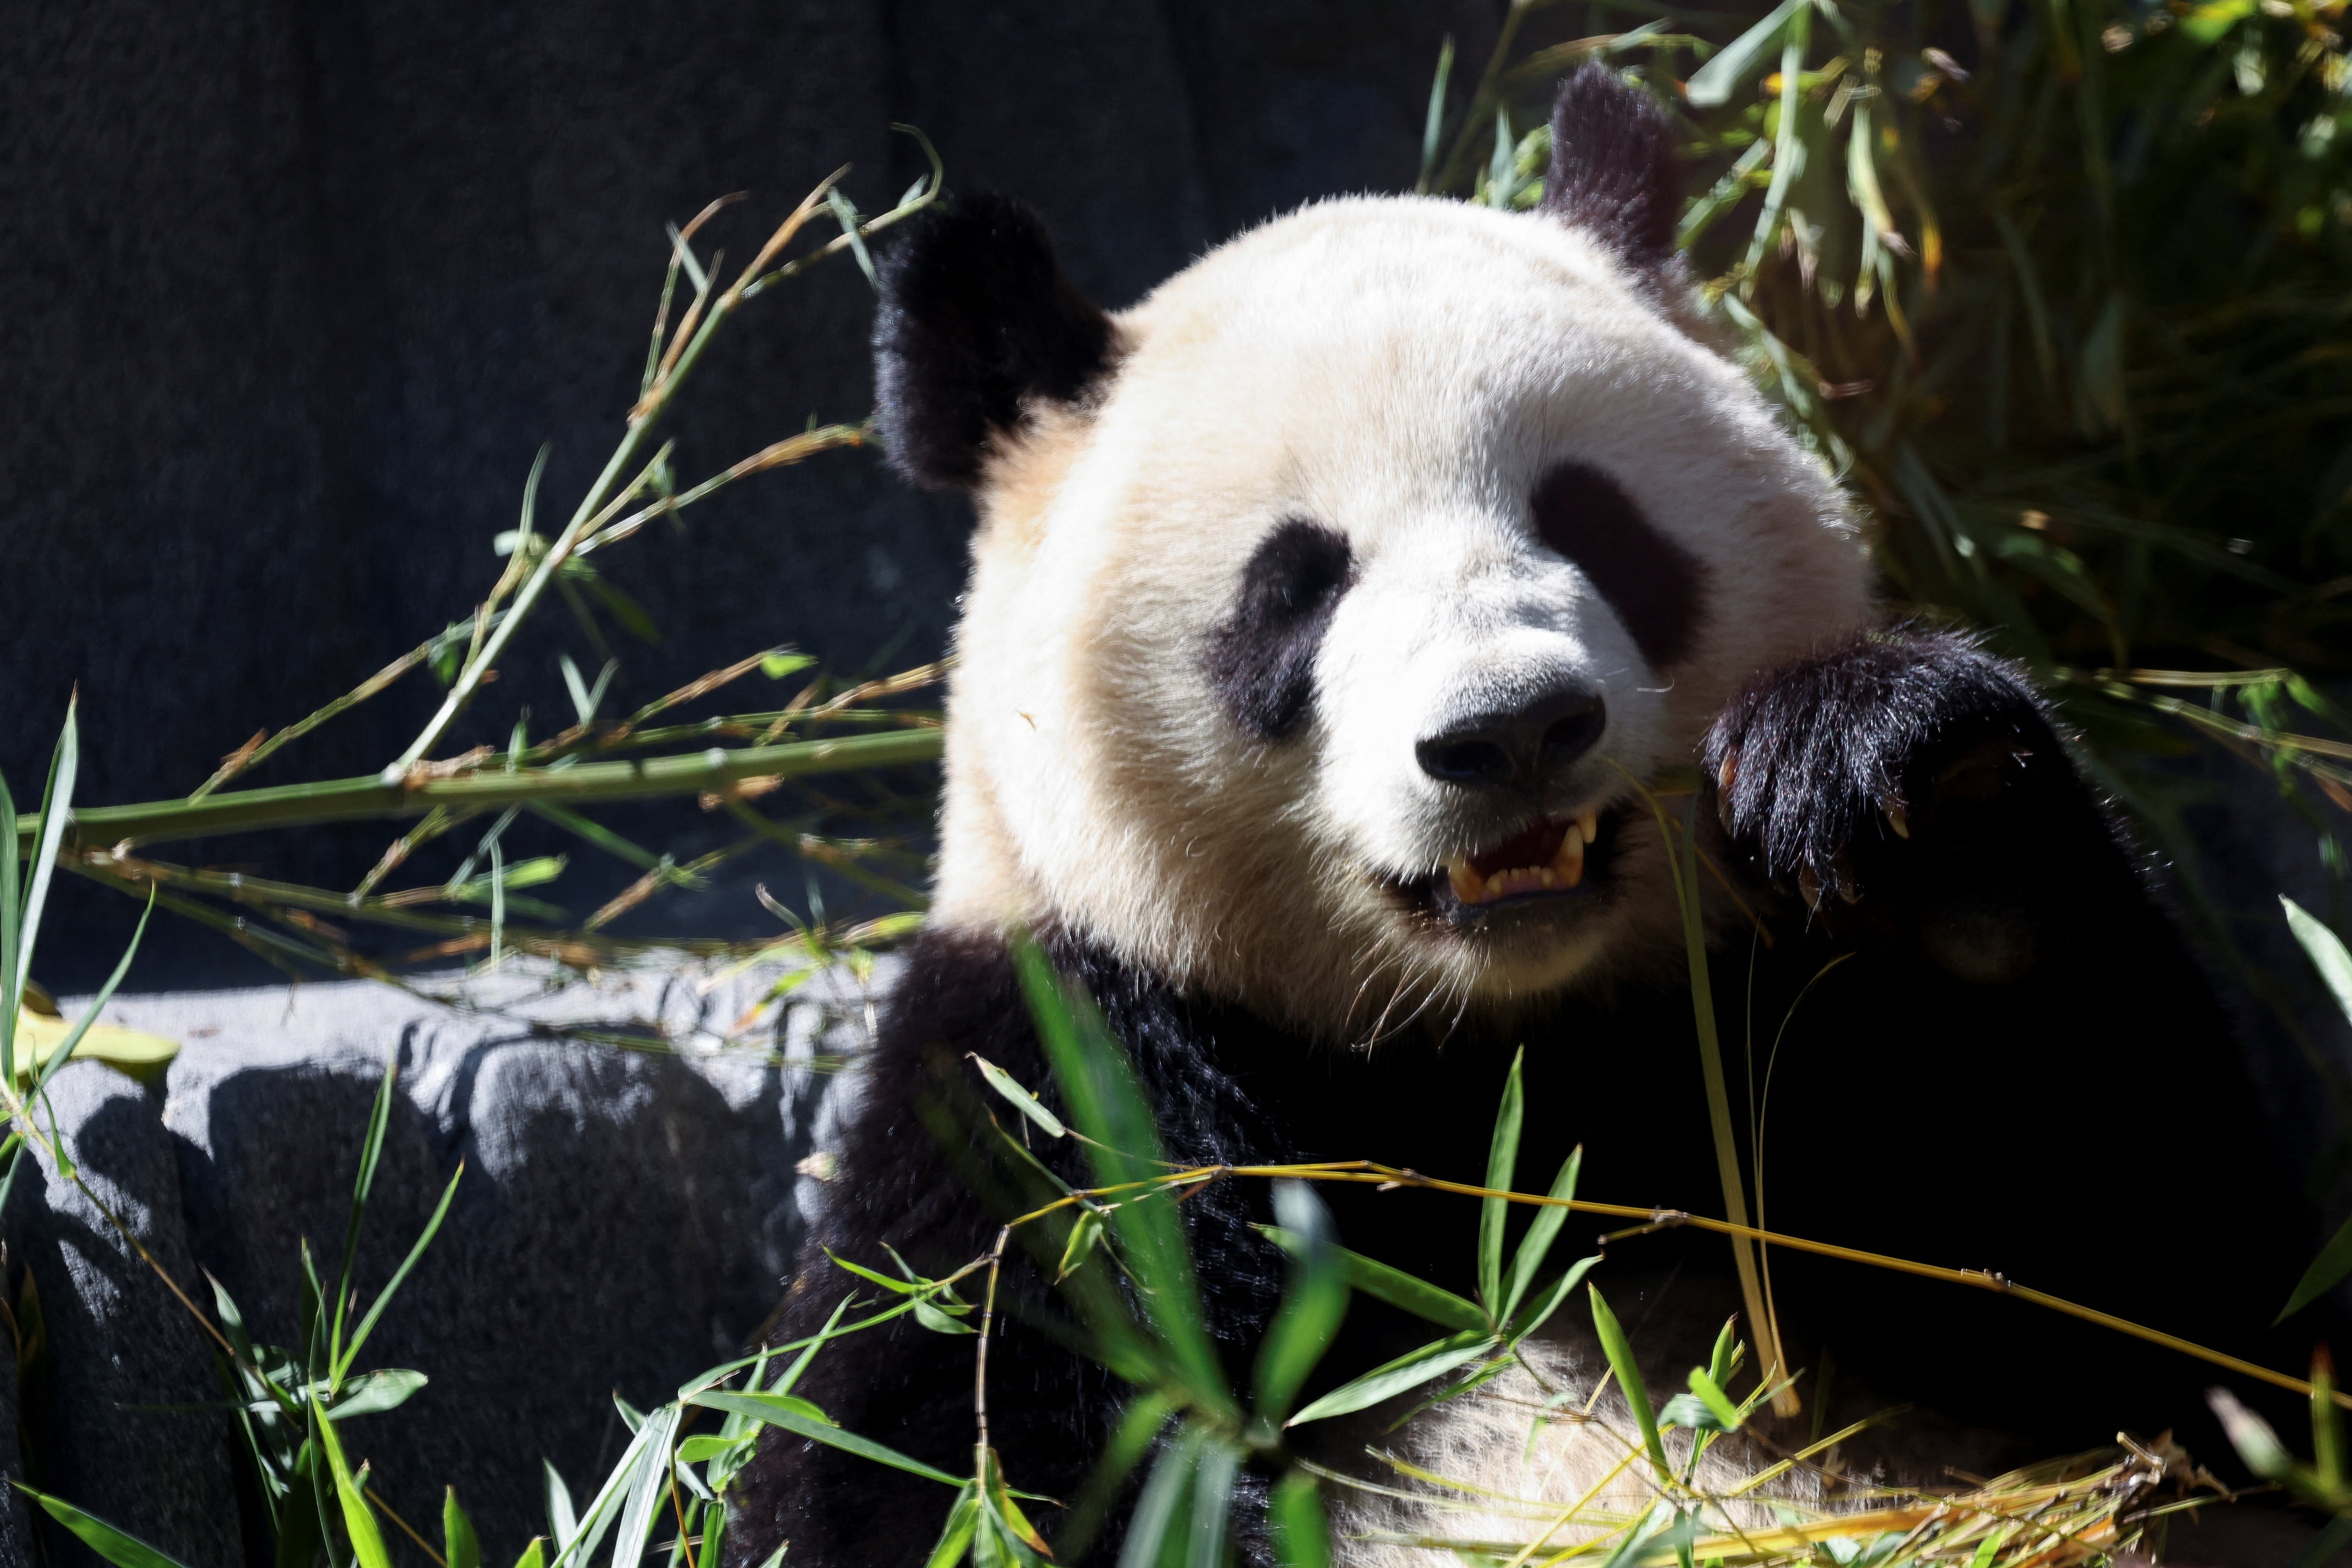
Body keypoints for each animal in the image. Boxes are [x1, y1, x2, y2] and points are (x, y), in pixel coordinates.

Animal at [729, 67, 2314, 1561]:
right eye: (1297, 585)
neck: (1487, 1051)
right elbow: (941, 1455)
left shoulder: (1754, 1030)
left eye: (1596, 523)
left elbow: (2165, 1320)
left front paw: (1905, 793)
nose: (1509, 731)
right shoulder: (1055, 1084)